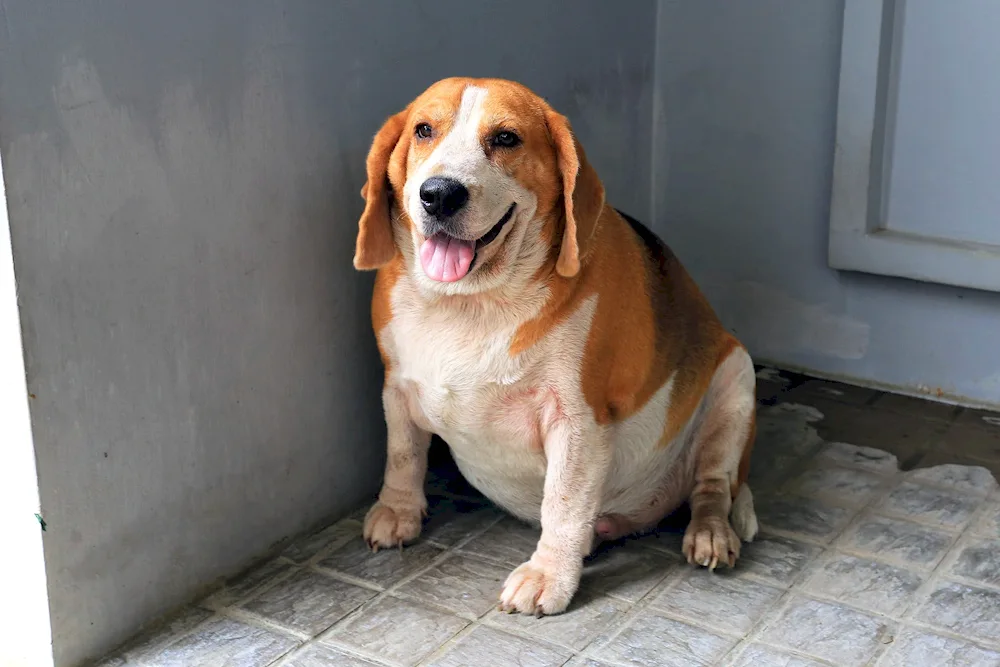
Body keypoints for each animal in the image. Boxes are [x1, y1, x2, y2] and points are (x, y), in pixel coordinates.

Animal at [352, 77, 756, 616]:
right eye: (422, 130)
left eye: (505, 138)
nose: (438, 194)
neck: (471, 303)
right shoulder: (396, 388)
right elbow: (402, 455)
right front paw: (398, 511)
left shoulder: (578, 421)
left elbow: (563, 503)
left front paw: (548, 575)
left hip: (736, 381)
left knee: (714, 488)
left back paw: (710, 534)